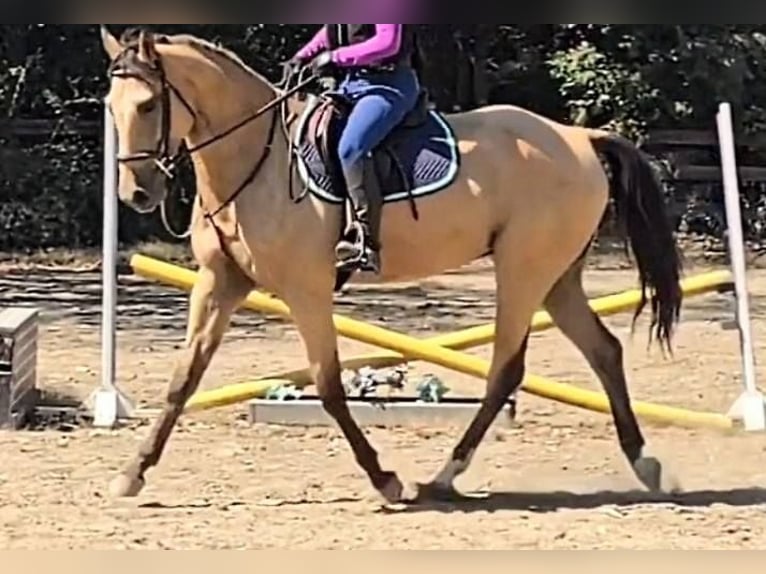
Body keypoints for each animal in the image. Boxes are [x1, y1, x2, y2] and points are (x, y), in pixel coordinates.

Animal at [100, 26, 683, 504]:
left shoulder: (306, 289)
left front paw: (386, 481)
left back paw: (444, 476)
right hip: (557, 278)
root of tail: (578, 137)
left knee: (506, 369)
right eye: (111, 105)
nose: (136, 193)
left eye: (148, 105)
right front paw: (131, 475)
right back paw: (647, 464)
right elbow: (183, 379)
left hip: (523, 271)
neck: (255, 161)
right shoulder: (220, 283)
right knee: (603, 351)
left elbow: (329, 386)